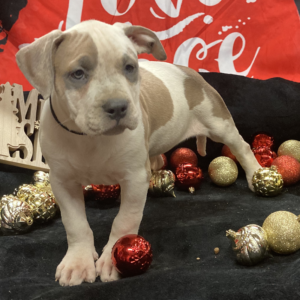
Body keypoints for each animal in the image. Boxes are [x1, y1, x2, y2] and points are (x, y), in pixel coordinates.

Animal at [15, 19, 260, 286]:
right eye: (78, 74)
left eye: (130, 67)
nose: (118, 107)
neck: (90, 139)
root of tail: (191, 72)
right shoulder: (62, 182)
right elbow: (75, 223)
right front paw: (77, 262)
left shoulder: (133, 178)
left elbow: (124, 220)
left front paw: (113, 258)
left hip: (219, 123)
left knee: (242, 147)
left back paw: (256, 174)